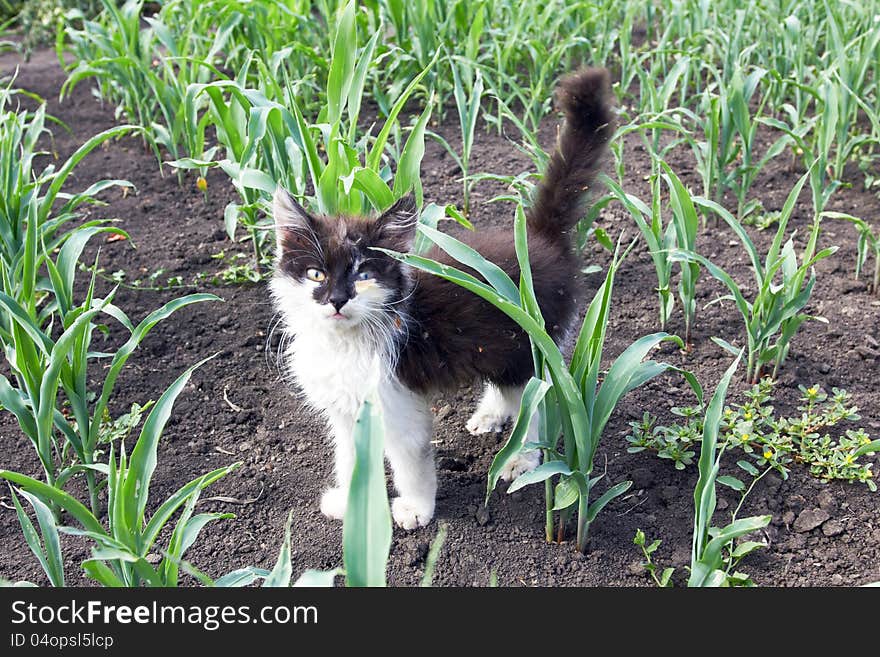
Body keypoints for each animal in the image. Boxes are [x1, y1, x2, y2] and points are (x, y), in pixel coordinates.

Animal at [272, 68, 616, 528]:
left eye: (364, 274)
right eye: (316, 274)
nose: (337, 301)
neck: (346, 343)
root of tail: (538, 239)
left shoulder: (396, 402)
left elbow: (409, 459)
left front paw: (416, 509)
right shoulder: (346, 412)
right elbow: (348, 458)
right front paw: (349, 502)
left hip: (531, 341)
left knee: (535, 403)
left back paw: (520, 460)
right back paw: (490, 416)